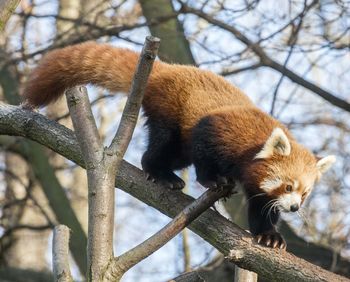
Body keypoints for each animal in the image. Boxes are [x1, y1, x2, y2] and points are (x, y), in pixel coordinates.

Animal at [23, 41, 334, 249]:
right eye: (289, 186)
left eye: (305, 193)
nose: (294, 207)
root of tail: (167, 69)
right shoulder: (219, 130)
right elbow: (205, 153)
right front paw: (213, 180)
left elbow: (261, 207)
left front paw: (269, 236)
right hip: (171, 112)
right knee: (162, 147)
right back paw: (161, 173)